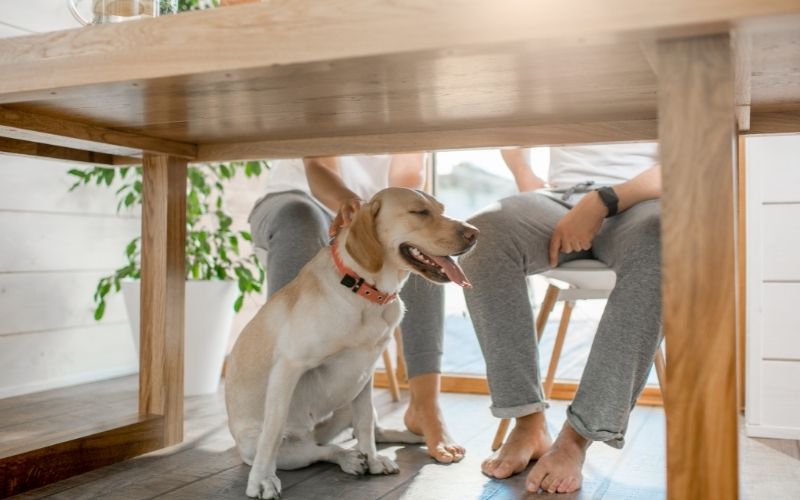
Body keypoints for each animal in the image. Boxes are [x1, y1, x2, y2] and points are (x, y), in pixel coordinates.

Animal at [223, 188, 476, 500]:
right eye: (419, 212)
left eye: (442, 209)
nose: (475, 234)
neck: (365, 290)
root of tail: (314, 433)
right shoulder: (289, 367)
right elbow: (272, 431)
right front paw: (261, 480)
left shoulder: (365, 373)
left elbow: (365, 422)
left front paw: (374, 460)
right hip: (274, 448)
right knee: (320, 450)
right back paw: (349, 458)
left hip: (350, 397)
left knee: (360, 432)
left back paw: (401, 439)